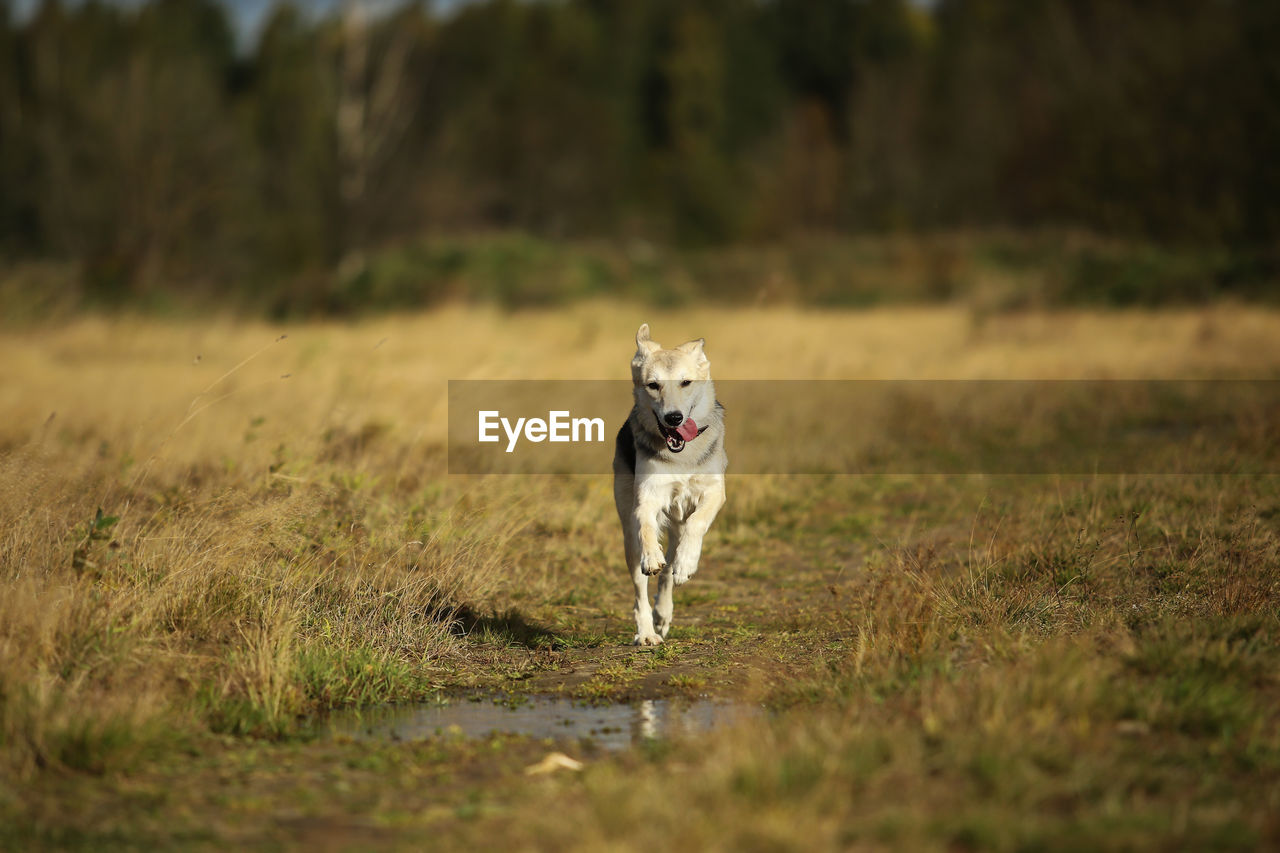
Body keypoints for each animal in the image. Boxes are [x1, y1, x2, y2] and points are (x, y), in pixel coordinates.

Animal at [611, 324, 727, 645]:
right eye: (653, 385)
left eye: (686, 382)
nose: (673, 418)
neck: (681, 457)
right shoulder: (647, 497)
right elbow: (647, 527)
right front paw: (653, 556)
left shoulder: (715, 492)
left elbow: (697, 523)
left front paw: (688, 563)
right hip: (628, 538)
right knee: (642, 589)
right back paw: (648, 633)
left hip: (676, 526)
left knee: (668, 574)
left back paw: (664, 612)